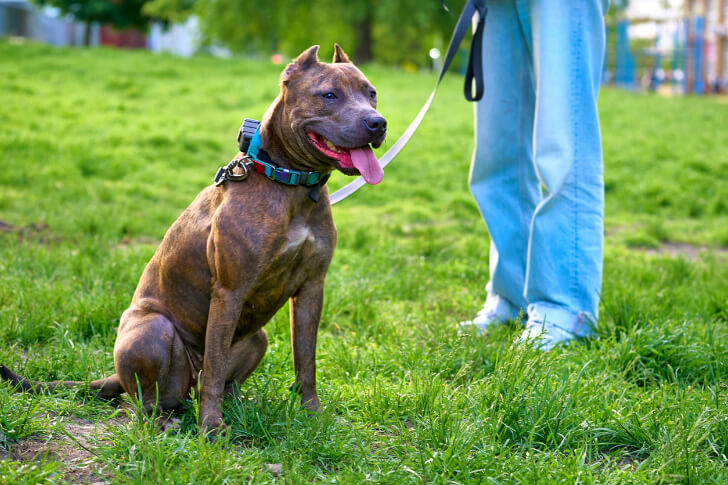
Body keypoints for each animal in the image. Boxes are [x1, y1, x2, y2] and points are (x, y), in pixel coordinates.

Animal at [0, 44, 386, 433]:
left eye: (372, 94)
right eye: (329, 95)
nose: (377, 123)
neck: (291, 183)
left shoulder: (311, 289)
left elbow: (306, 360)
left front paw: (313, 415)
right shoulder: (230, 291)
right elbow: (214, 369)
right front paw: (211, 427)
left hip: (256, 338)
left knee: (217, 383)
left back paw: (241, 407)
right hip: (153, 330)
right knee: (151, 399)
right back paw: (164, 421)